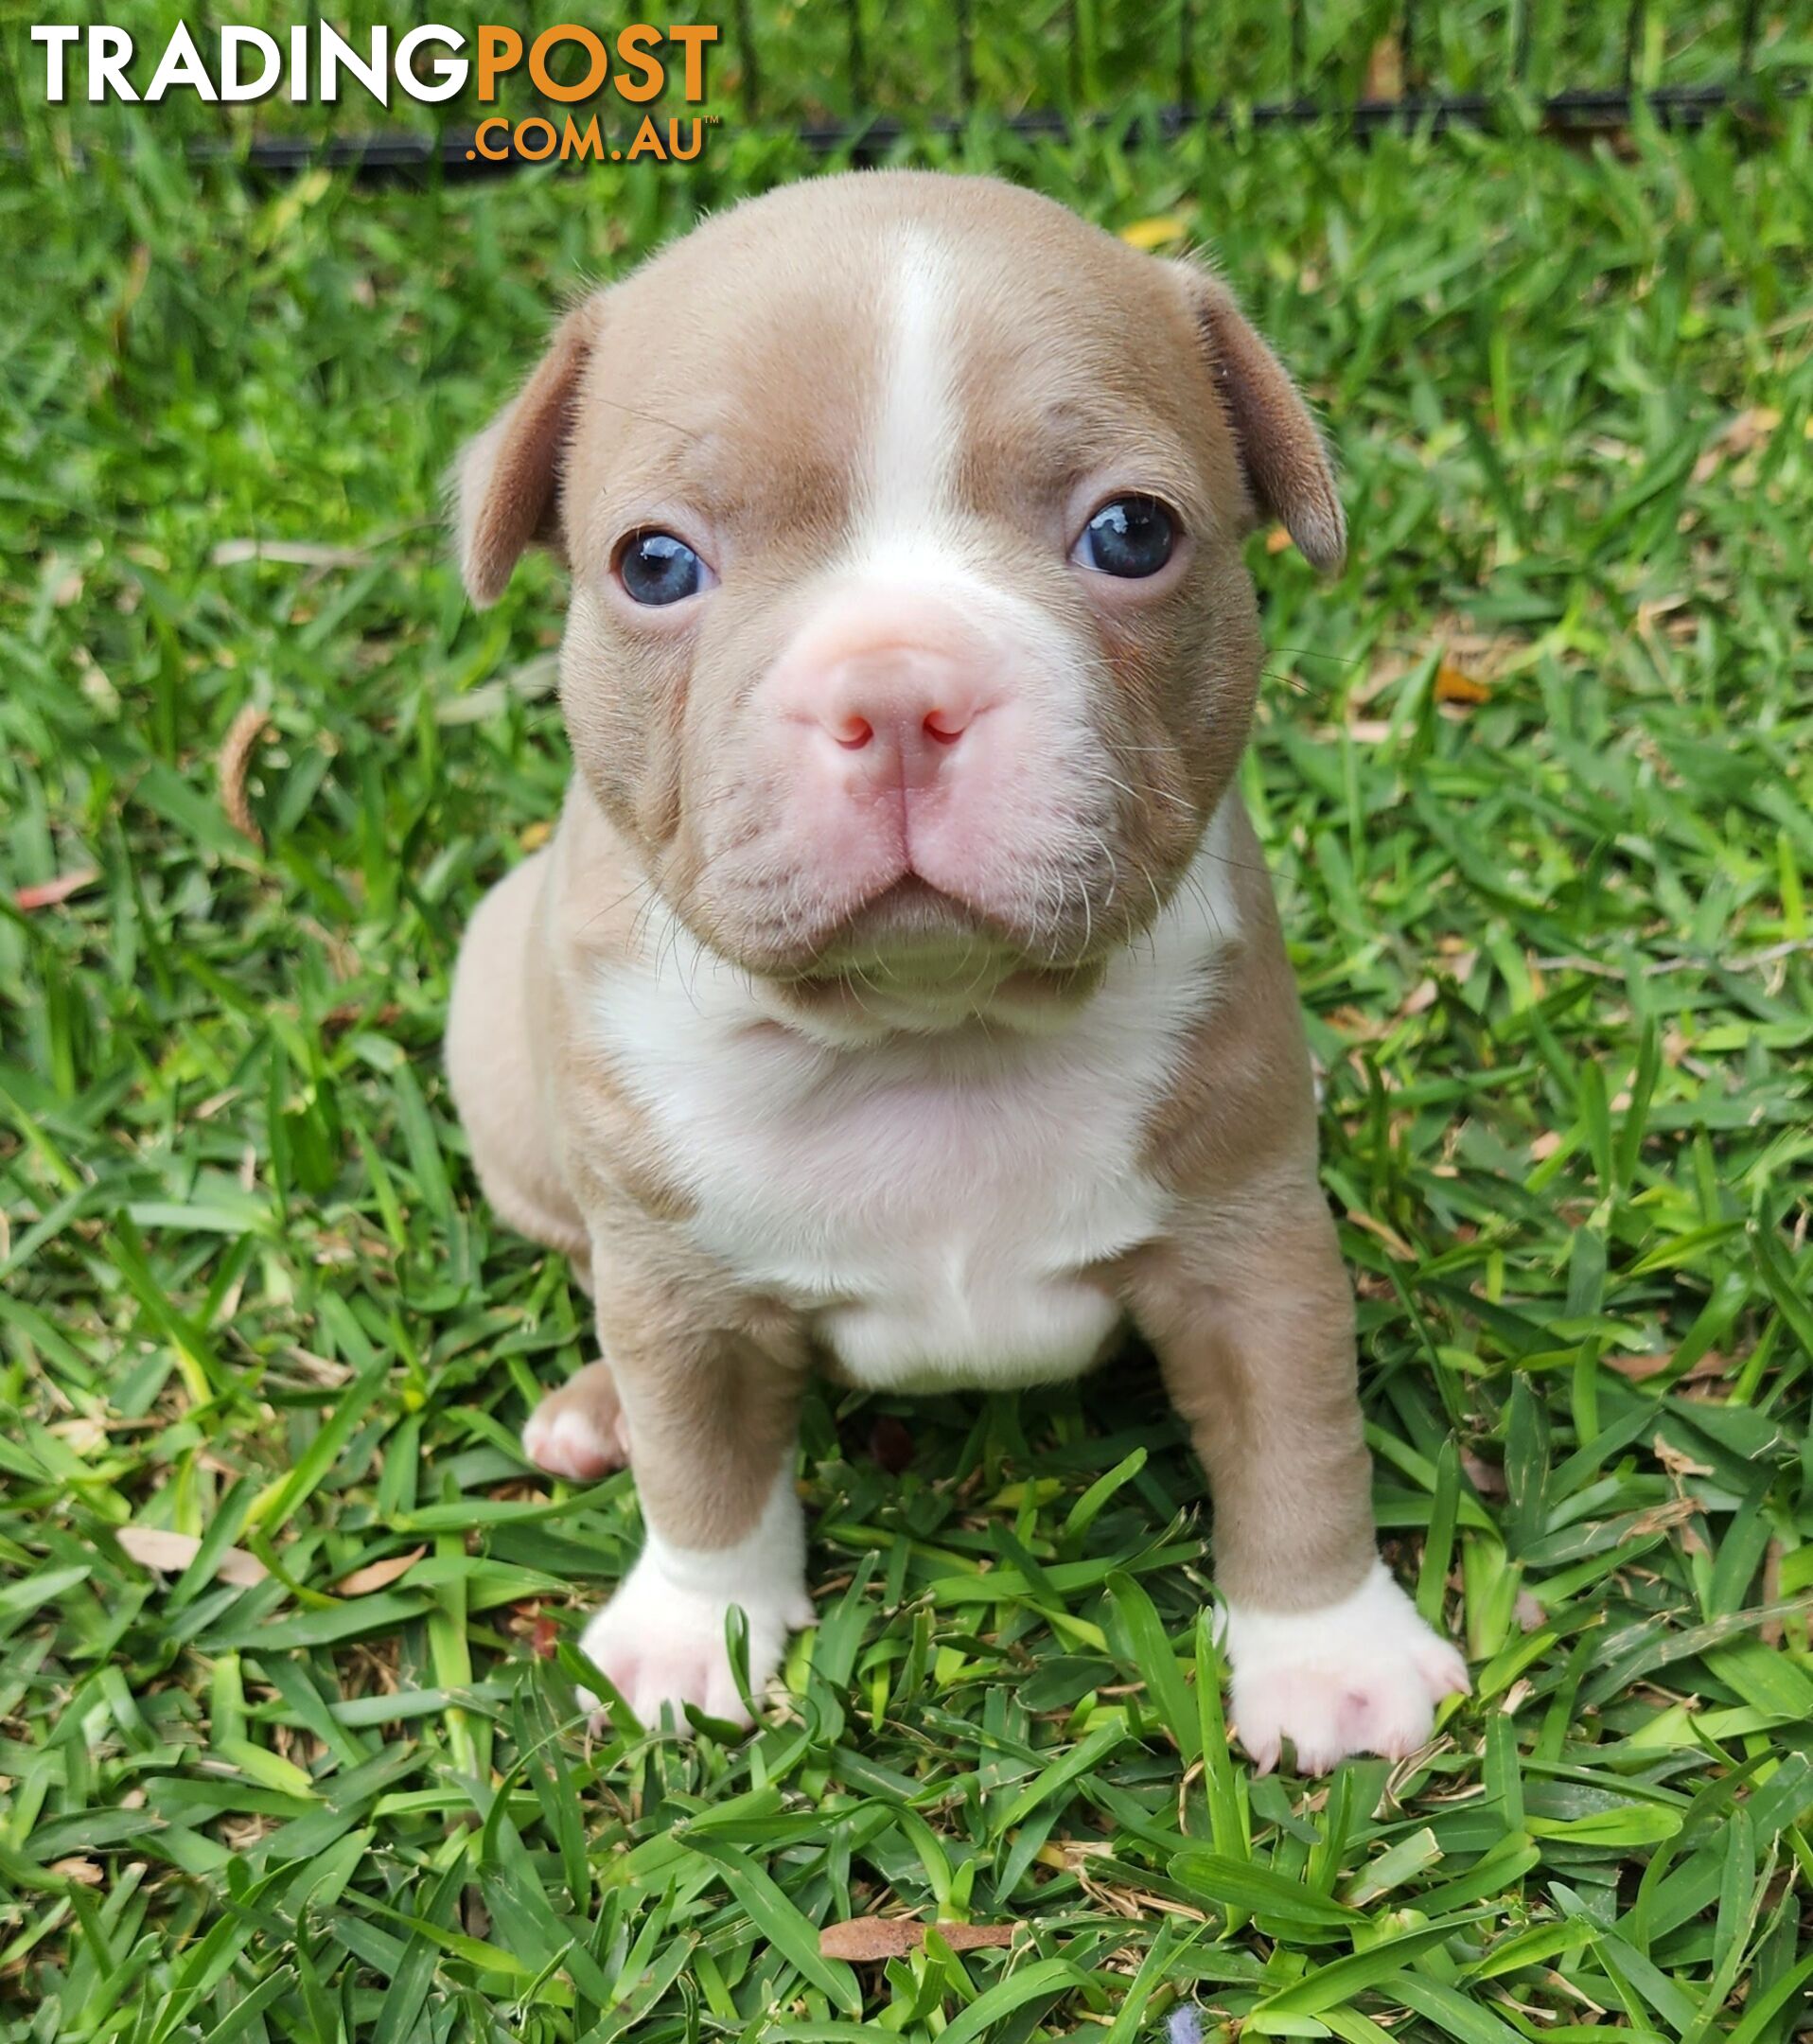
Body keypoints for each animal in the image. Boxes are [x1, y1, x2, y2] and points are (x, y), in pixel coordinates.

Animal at [443, 171, 1471, 1773]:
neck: (929, 1027)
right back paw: (593, 1410)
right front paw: (692, 1627)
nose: (898, 692)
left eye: (1132, 534)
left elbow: (1301, 1444)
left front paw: (1328, 1655)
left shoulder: (1253, 1248)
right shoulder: (677, 1284)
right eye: (655, 565)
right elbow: (699, 1454)